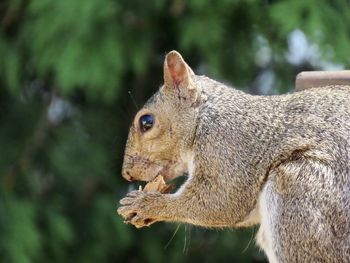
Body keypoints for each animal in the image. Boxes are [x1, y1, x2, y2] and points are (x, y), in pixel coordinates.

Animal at [118, 50, 350, 262]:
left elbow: (221, 200)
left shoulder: (229, 148)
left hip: (299, 194)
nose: (126, 174)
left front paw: (147, 204)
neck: (203, 118)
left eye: (146, 122)